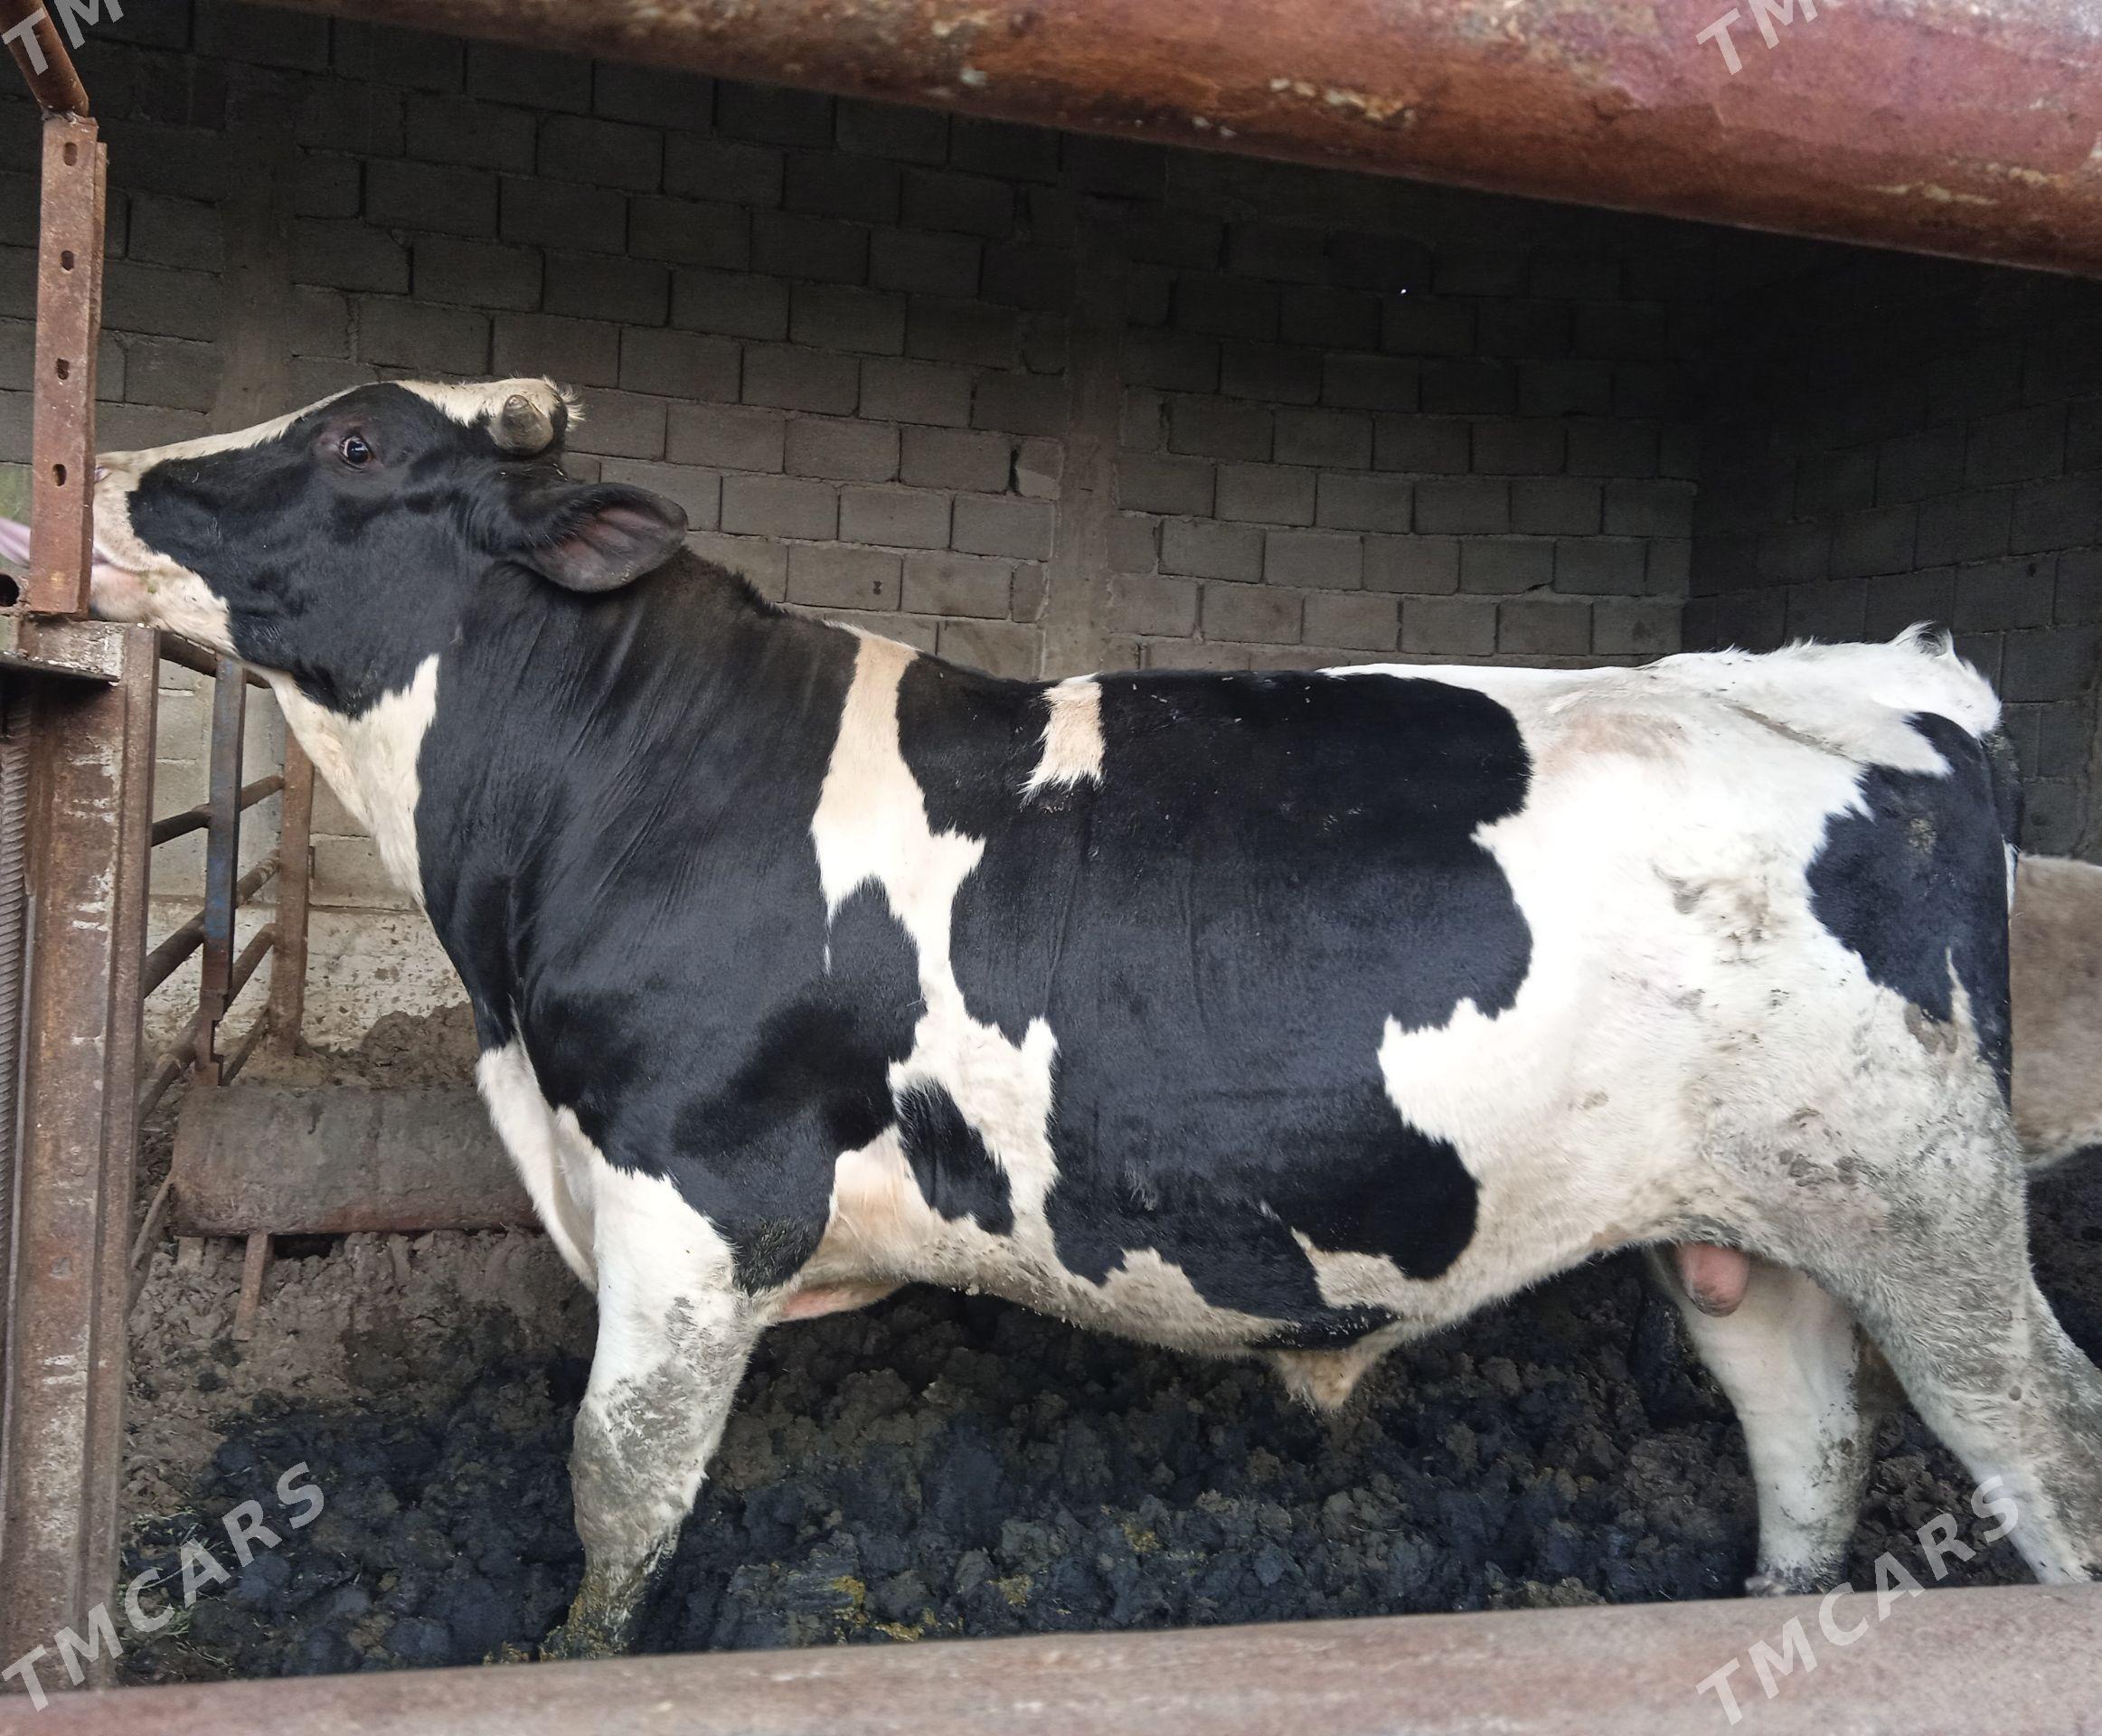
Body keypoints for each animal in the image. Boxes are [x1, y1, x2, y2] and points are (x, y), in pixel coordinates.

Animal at [83, 377, 2102, 1654]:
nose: (103, 476)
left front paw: (574, 1656)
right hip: (1756, 1219)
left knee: (2042, 1434)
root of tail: (1881, 680)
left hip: (1924, 1209)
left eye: (354, 438)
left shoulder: (692, 1196)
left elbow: (619, 1489)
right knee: (1808, 1435)